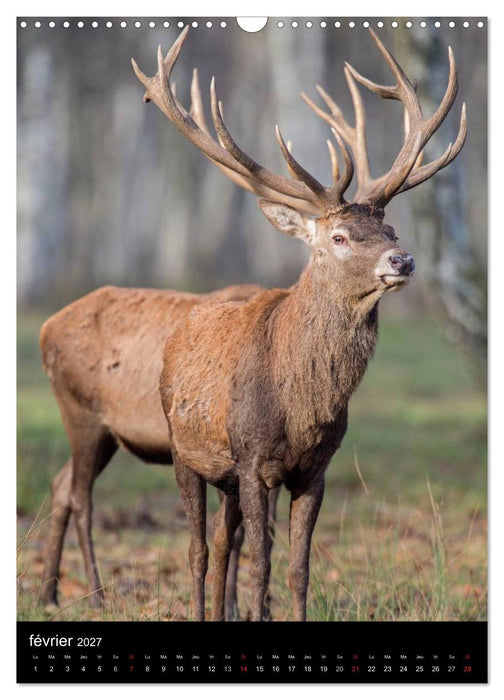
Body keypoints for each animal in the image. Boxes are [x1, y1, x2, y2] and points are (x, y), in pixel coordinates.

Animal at [131, 26, 466, 621]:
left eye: (392, 230)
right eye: (338, 236)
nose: (402, 261)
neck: (302, 407)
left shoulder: (316, 469)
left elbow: (298, 568)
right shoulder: (252, 459)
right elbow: (262, 563)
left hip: (223, 475)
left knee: (223, 543)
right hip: (183, 449)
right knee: (198, 548)